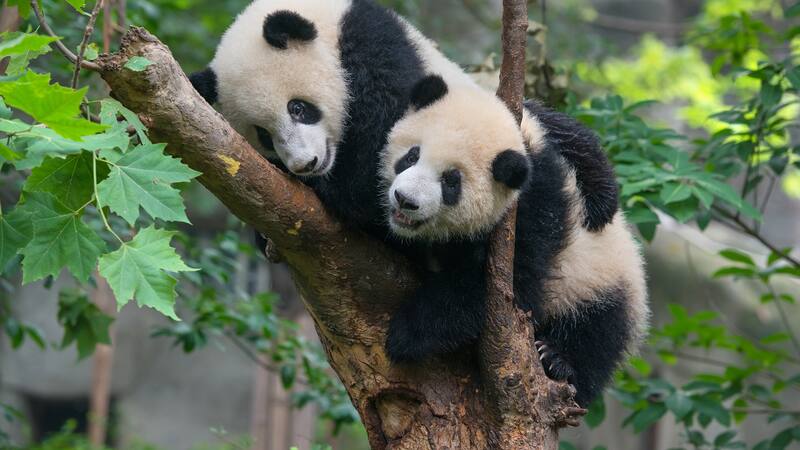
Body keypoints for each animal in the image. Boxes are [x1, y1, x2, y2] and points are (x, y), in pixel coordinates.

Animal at [381, 75, 649, 406]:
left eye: (451, 182)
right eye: (412, 156)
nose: (405, 200)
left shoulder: (532, 209)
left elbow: (505, 287)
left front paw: (407, 333)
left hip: (601, 283)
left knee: (598, 334)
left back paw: (558, 360)